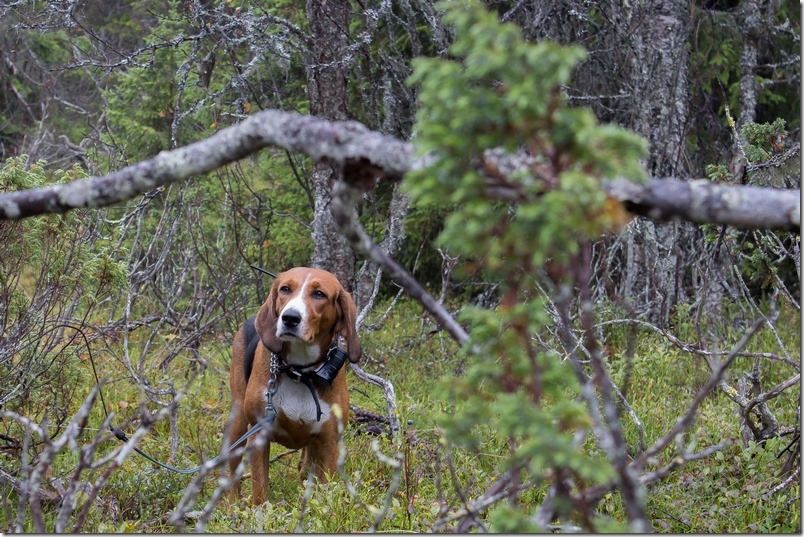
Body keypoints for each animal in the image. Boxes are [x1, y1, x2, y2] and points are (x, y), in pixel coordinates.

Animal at [228, 266, 362, 504]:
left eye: (319, 294)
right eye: (285, 289)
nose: (289, 317)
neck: (300, 372)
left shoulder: (329, 443)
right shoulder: (258, 434)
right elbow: (260, 490)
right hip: (239, 421)